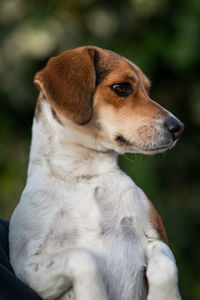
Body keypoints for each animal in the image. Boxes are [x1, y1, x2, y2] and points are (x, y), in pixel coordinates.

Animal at [9, 45, 184, 300]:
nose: (178, 127)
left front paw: (165, 296)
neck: (85, 177)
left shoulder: (155, 237)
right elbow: (83, 258)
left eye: (148, 91)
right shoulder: (28, 267)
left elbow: (166, 265)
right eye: (122, 87)